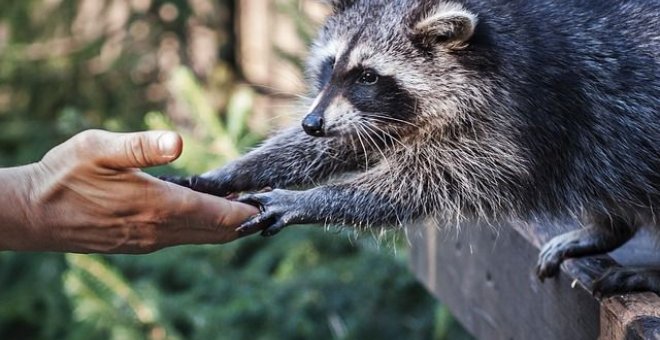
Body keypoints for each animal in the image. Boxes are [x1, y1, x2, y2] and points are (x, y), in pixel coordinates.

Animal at [162, 0, 656, 296]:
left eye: (368, 76)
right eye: (331, 65)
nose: (311, 123)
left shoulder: (514, 120)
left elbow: (428, 182)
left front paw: (310, 199)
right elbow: (351, 141)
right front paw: (235, 170)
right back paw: (609, 228)